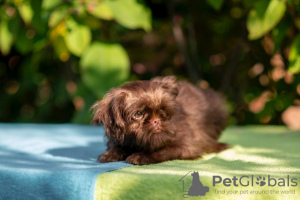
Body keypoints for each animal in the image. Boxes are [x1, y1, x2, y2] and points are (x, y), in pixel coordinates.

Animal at [91, 76, 227, 165]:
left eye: (163, 109)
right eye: (138, 114)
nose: (156, 120)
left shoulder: (188, 145)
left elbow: (165, 150)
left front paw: (143, 155)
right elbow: (116, 146)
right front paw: (110, 154)